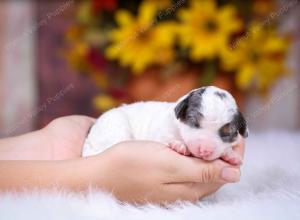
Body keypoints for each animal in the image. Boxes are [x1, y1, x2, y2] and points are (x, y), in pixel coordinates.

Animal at [82, 86, 248, 165]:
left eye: (227, 132)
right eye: (194, 121)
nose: (204, 150)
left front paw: (231, 155)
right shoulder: (161, 131)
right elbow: (167, 138)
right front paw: (180, 145)